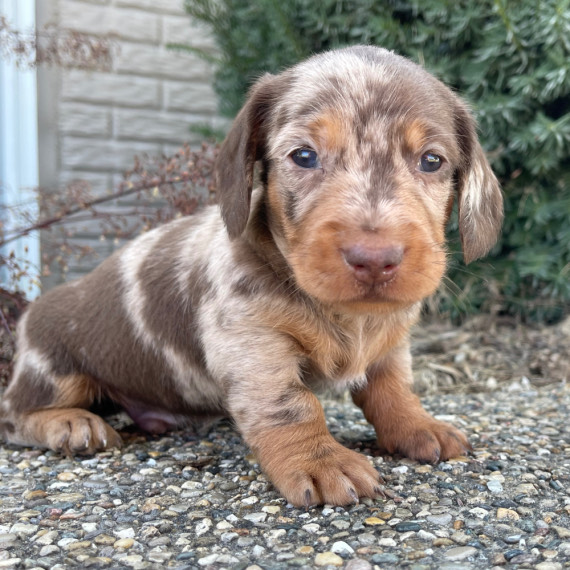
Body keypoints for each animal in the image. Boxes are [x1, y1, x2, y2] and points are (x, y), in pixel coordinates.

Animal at [0, 46, 500, 504]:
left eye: (432, 161)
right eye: (304, 155)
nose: (374, 259)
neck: (349, 315)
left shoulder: (392, 344)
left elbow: (393, 390)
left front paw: (418, 426)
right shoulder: (252, 342)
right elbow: (291, 404)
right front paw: (321, 459)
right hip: (54, 368)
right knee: (14, 414)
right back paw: (70, 423)